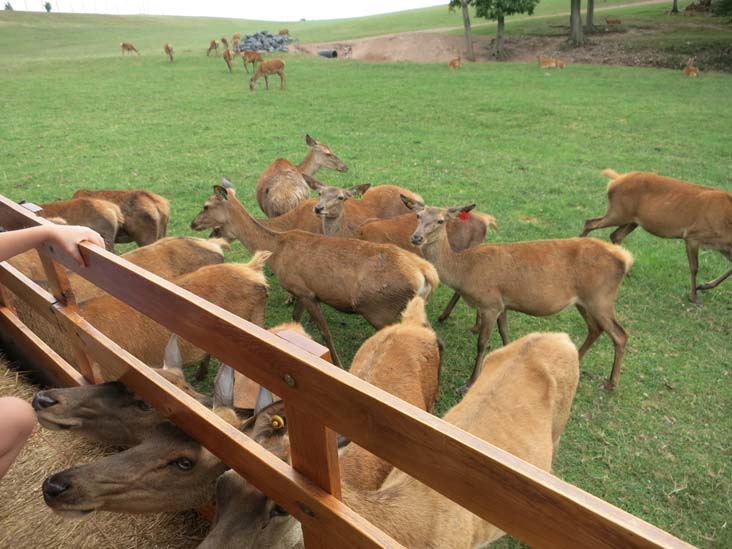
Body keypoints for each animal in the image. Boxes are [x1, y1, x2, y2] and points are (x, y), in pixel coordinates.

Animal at [190, 181, 440, 366]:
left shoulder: (306, 292)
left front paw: (338, 364)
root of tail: (426, 273)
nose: (193, 224)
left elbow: (324, 331)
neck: (277, 250)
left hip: (382, 309)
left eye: (206, 205)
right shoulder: (302, 290)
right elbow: (295, 320)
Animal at [404, 196, 632, 392]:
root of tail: (625, 259)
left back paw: (611, 383)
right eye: (418, 216)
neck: (464, 272)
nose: (416, 237)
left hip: (600, 298)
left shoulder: (490, 303)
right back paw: (577, 360)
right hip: (583, 301)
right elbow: (505, 333)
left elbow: (482, 343)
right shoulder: (503, 303)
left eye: (440, 220)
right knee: (595, 329)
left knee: (620, 334)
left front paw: (469, 382)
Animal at [581, 169, 732, 303]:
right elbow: (694, 267)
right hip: (619, 212)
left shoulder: (722, 246)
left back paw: (626, 271)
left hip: (632, 220)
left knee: (615, 235)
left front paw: (704, 286)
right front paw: (694, 297)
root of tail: (615, 180)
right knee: (590, 223)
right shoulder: (693, 236)